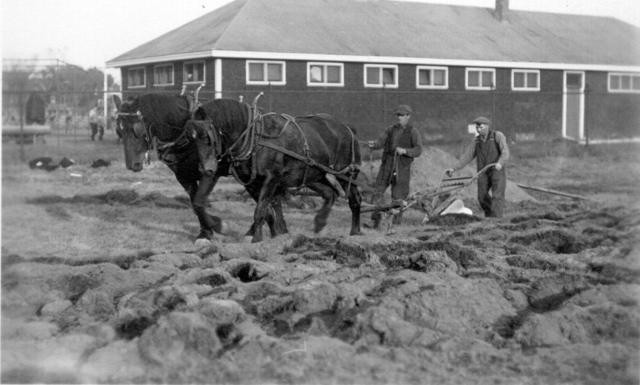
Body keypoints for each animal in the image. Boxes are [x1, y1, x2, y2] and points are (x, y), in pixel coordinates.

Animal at [115, 92, 284, 243]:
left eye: (136, 129)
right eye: (119, 130)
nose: (132, 164)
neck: (185, 134)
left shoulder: (210, 172)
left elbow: (198, 202)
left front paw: (220, 226)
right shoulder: (183, 176)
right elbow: (195, 204)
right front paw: (205, 233)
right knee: (272, 201)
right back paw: (277, 230)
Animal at [188, 97, 362, 242]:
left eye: (206, 137)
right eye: (192, 138)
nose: (204, 169)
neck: (254, 138)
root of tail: (346, 127)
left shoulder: (271, 178)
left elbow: (260, 210)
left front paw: (256, 239)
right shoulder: (250, 182)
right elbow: (198, 202)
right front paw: (220, 226)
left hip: (346, 172)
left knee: (355, 199)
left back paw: (355, 231)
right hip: (315, 174)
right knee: (330, 193)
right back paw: (320, 223)